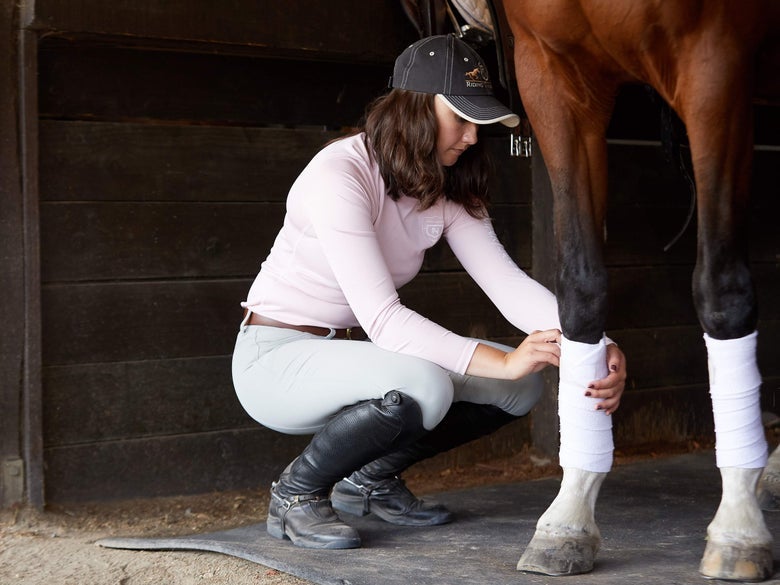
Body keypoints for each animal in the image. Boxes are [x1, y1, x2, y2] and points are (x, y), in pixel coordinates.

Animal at [482, 0, 780, 580]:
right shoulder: (552, 71)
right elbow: (580, 288)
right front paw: (568, 520)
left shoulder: (715, 59)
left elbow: (721, 289)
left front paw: (739, 527)